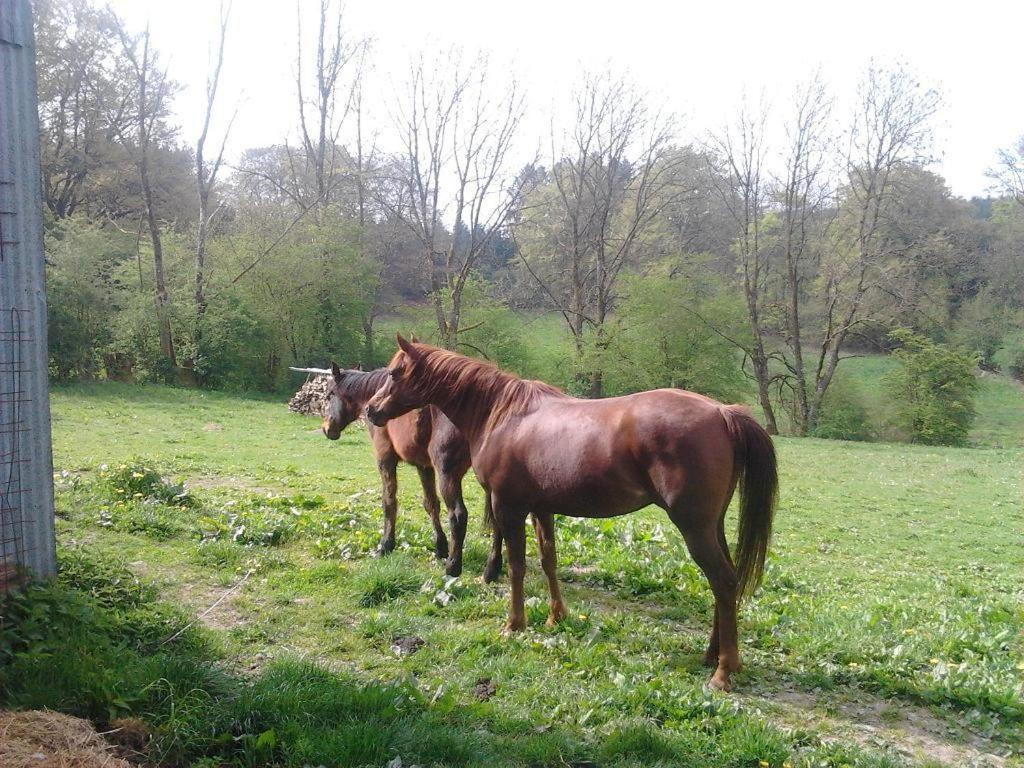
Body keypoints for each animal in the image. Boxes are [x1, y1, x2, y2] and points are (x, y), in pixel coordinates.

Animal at [290, 364, 501, 581]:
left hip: (448, 475)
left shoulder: (386, 459)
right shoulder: (424, 466)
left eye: (330, 394)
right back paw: (491, 570)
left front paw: (386, 545)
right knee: (497, 520)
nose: (327, 428)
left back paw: (453, 567)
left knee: (458, 516)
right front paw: (440, 547)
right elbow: (431, 504)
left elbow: (389, 502)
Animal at [366, 335, 774, 692]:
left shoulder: (508, 507)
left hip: (694, 527)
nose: (372, 410)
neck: (503, 414)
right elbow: (549, 560)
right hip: (711, 525)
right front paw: (555, 616)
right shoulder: (541, 508)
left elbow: (517, 565)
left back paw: (723, 671)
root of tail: (722, 412)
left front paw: (514, 624)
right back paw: (711, 655)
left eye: (395, 372)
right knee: (726, 581)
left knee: (723, 581)